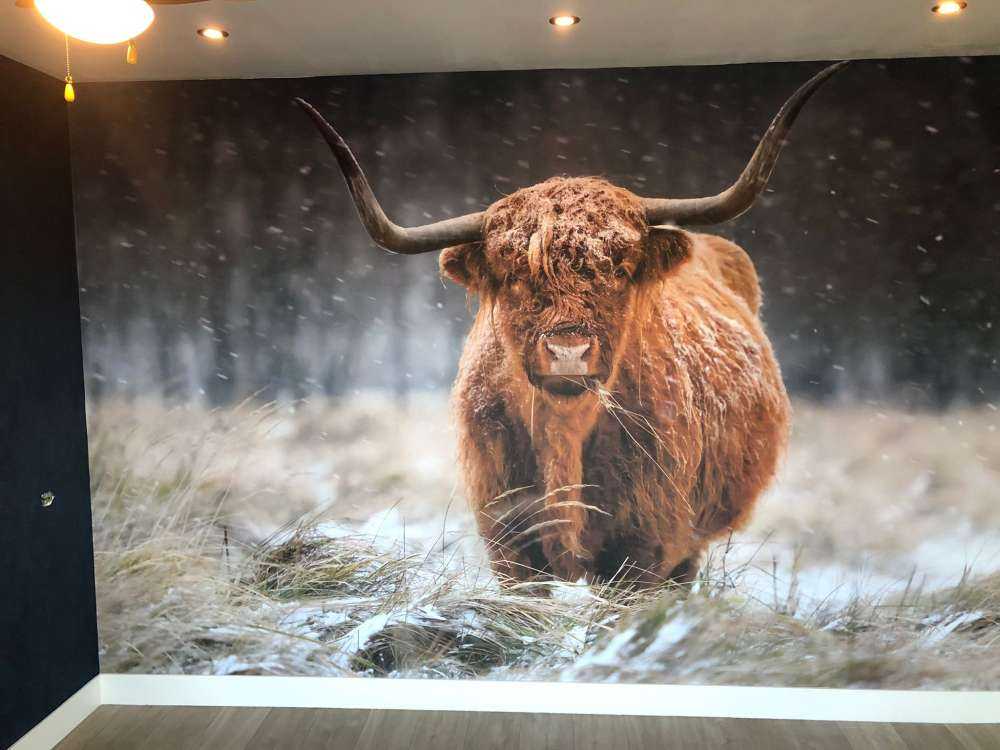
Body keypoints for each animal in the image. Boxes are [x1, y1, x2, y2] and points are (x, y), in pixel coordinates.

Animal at [296, 62, 845, 587]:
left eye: (619, 270)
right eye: (514, 275)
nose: (568, 353)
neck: (563, 435)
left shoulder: (645, 547)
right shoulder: (510, 543)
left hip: (688, 545)